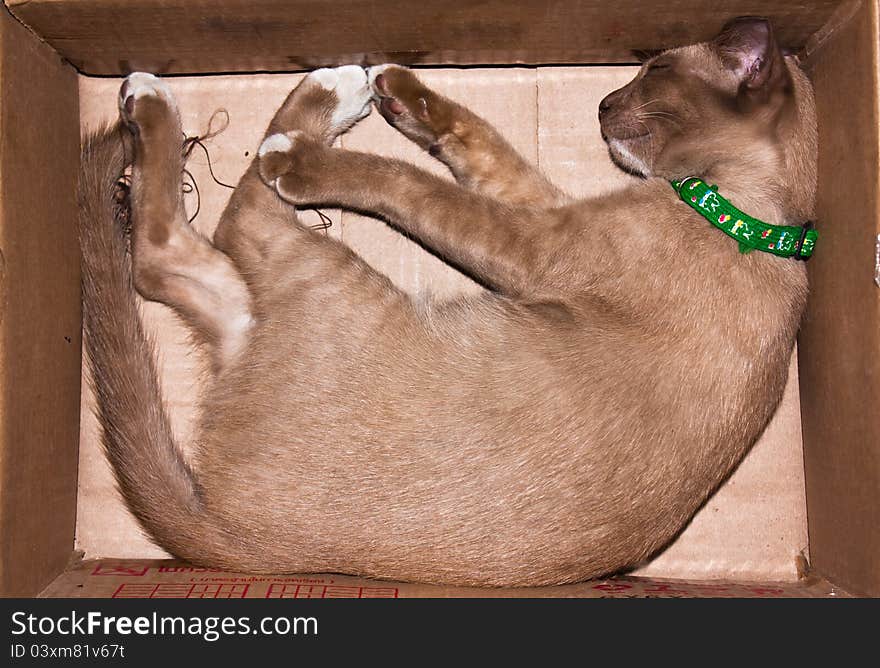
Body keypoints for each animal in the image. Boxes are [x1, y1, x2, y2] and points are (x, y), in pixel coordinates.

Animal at [81, 18, 820, 588]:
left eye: (656, 70)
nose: (604, 103)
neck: (748, 216)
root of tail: (228, 535)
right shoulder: (542, 207)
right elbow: (479, 144)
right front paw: (403, 93)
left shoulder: (534, 243)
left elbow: (414, 186)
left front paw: (315, 150)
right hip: (257, 294)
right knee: (161, 263)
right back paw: (332, 86)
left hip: (322, 269)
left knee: (229, 218)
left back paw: (245, 104)